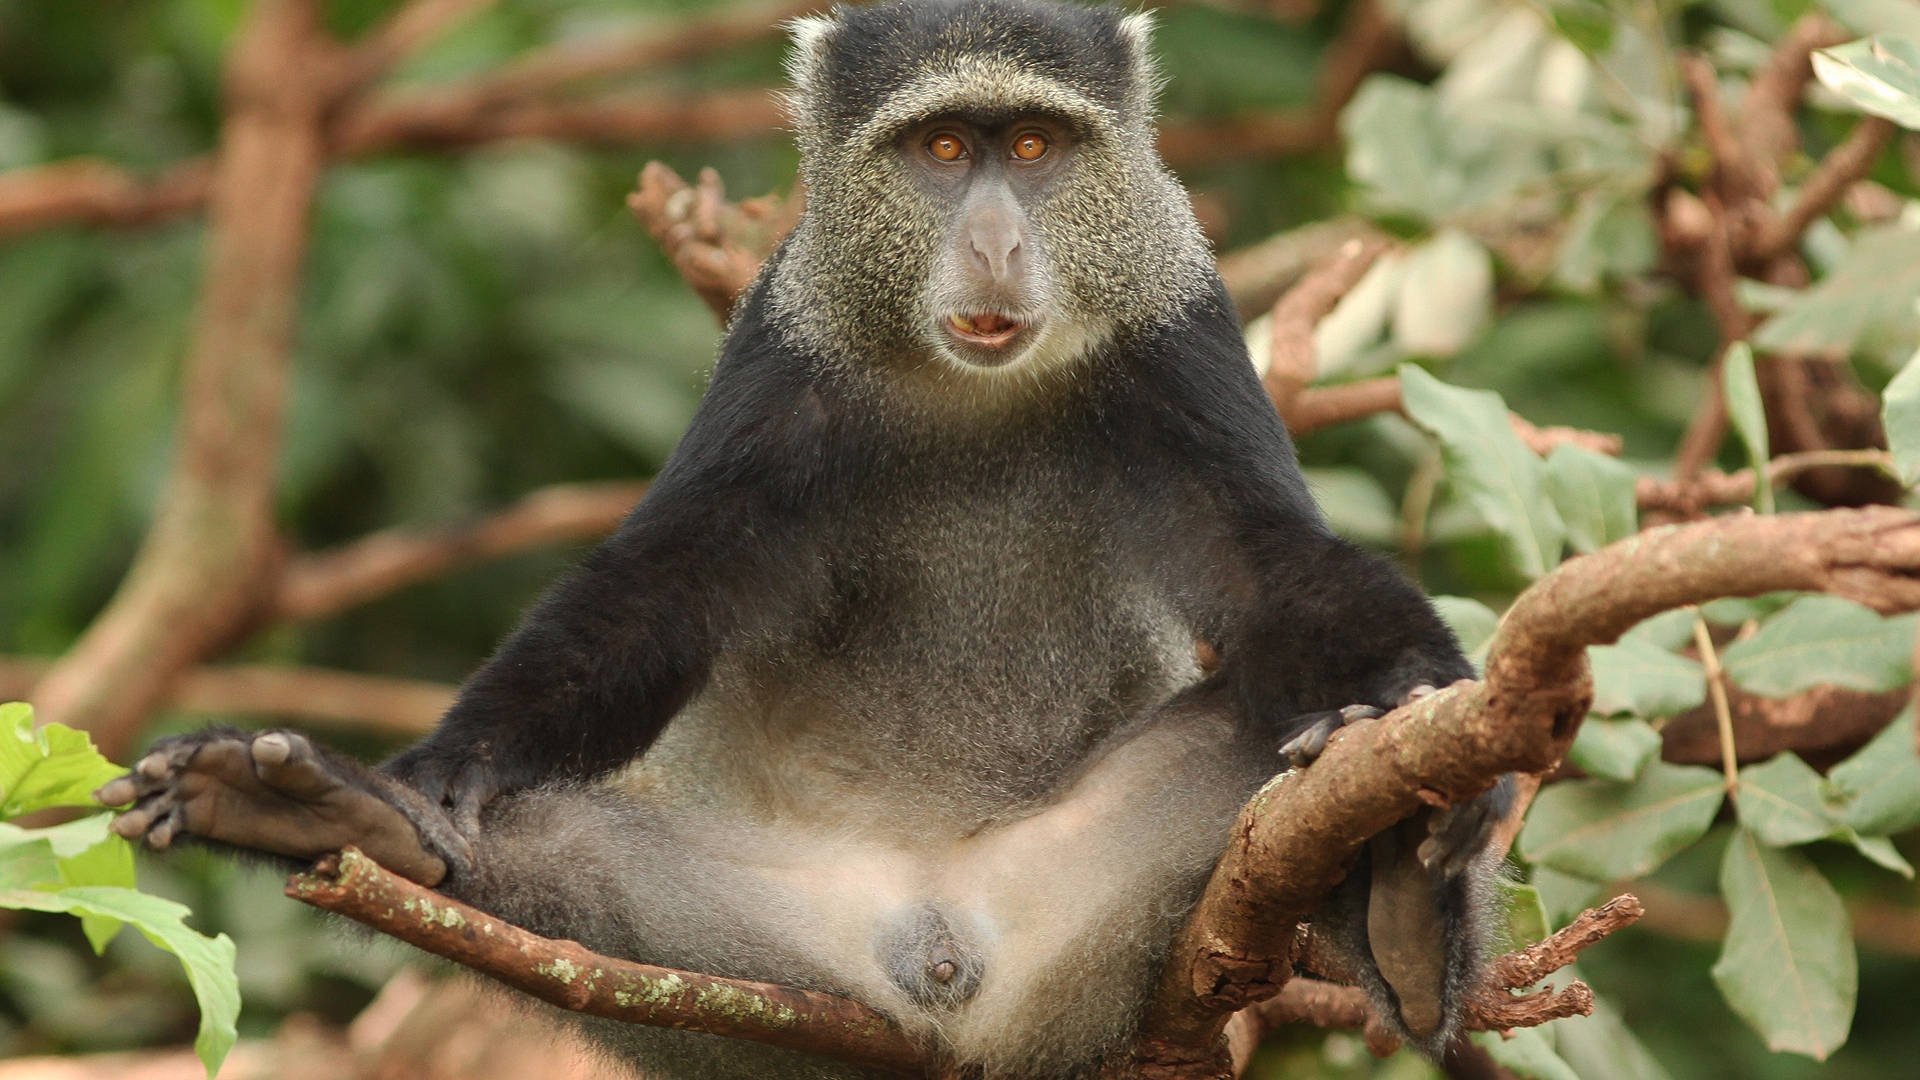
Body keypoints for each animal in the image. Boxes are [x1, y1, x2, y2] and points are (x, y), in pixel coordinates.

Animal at [97, 1, 1514, 1076]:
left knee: (1272, 756)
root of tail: (950, 956)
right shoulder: (783, 353)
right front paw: (443, 767)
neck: (969, 387)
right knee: (549, 858)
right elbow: (664, 590)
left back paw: (1399, 899)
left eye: (1036, 145)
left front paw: (1425, 717)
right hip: (749, 965)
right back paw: (323, 812)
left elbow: (1265, 567)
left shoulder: (1180, 329)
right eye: (940, 148)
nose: (995, 243)